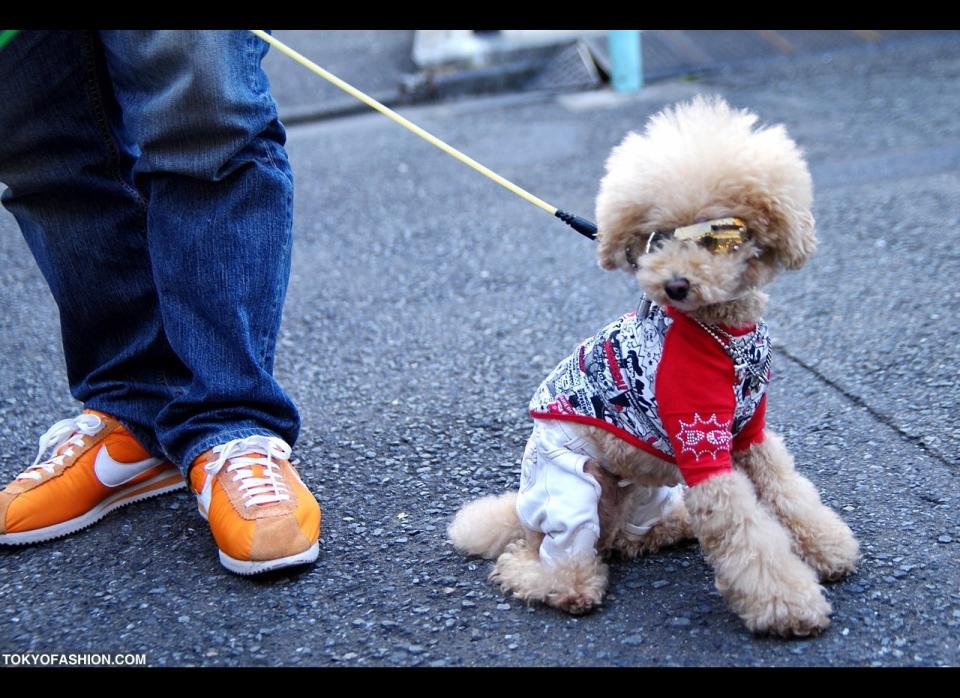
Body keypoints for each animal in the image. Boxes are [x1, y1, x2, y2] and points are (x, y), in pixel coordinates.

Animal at [450, 95, 864, 632]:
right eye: (656, 239)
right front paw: (787, 603)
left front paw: (828, 548)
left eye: (717, 238)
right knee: (546, 563)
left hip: (643, 489)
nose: (675, 285)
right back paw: (557, 578)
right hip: (571, 489)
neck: (719, 332)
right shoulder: (700, 440)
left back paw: (669, 527)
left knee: (625, 536)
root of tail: (520, 513)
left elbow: (789, 491)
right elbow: (745, 529)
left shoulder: (748, 431)